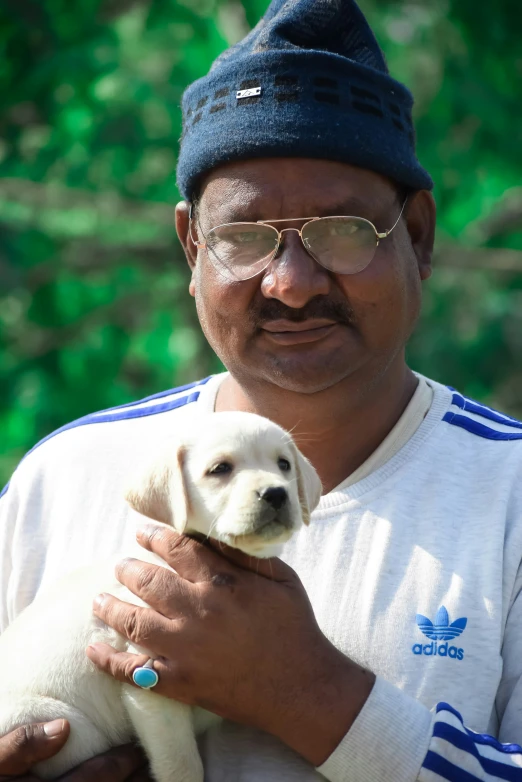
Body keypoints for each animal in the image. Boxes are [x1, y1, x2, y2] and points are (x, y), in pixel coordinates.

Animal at [0, 414, 320, 780]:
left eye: (284, 464)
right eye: (220, 469)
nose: (277, 493)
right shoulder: (152, 689)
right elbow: (182, 766)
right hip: (61, 725)